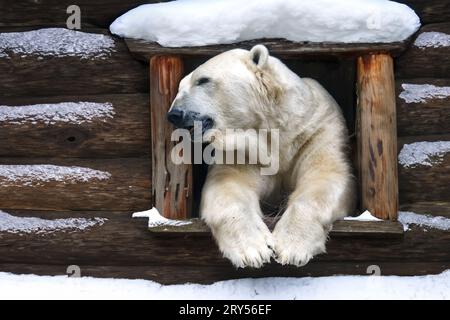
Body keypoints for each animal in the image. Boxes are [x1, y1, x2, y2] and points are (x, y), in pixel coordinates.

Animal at [168, 45, 356, 268]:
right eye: (179, 86)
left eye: (203, 80)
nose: (174, 114)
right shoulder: (246, 152)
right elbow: (229, 186)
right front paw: (254, 250)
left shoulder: (316, 131)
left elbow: (325, 177)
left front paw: (292, 247)